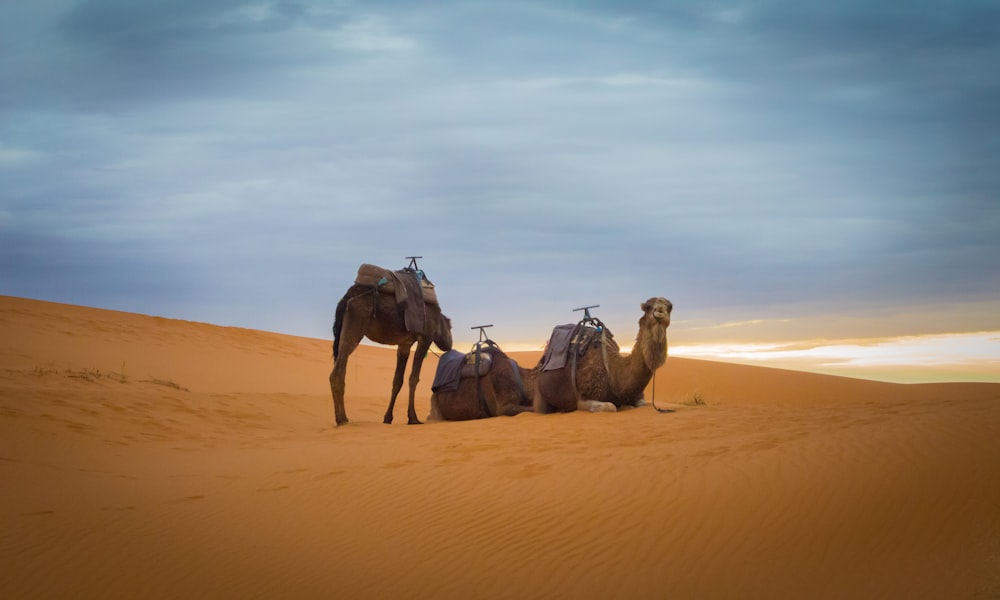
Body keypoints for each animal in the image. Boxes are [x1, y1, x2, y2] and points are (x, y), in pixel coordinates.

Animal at [532, 298, 672, 414]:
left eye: (670, 306)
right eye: (648, 306)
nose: (660, 308)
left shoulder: (637, 395)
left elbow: (642, 404)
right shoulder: (583, 399)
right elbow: (612, 406)